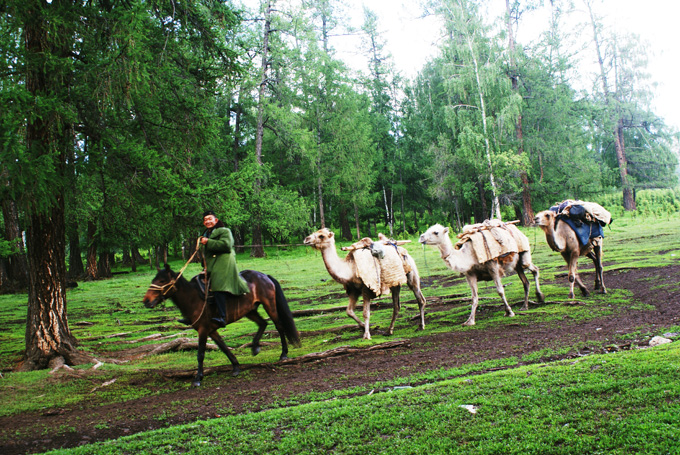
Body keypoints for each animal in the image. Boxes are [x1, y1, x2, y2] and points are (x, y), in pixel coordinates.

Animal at [142, 266, 298, 386]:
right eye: (153, 280)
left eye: (162, 281)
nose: (146, 301)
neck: (193, 298)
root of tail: (264, 276)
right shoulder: (211, 331)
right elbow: (223, 348)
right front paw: (235, 366)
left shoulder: (203, 330)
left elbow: (200, 354)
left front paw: (198, 378)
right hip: (249, 310)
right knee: (263, 323)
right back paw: (255, 347)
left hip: (269, 304)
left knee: (279, 326)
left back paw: (283, 353)